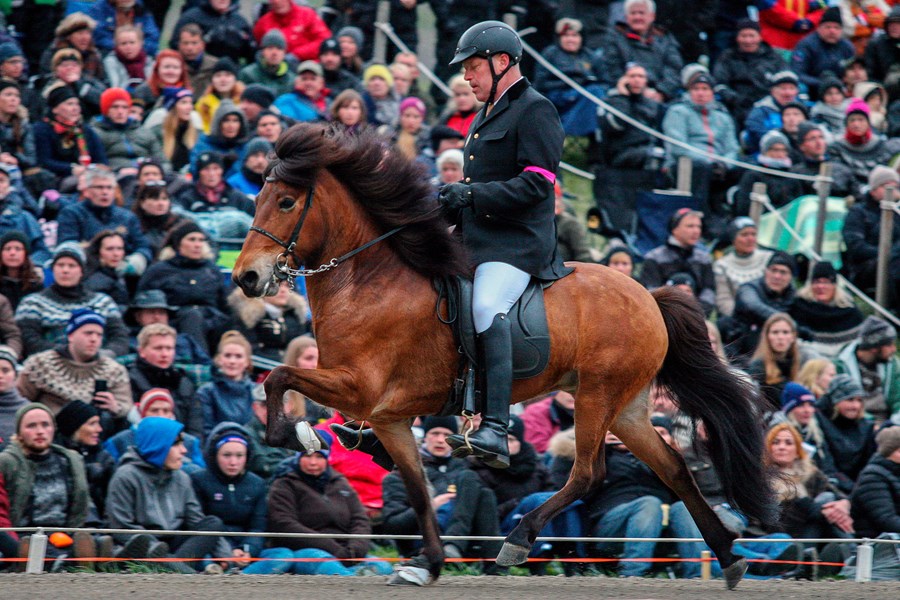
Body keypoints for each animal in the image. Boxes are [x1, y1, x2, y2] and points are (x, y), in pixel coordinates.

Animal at [232, 122, 772, 584]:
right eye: (256, 199)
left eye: (285, 202)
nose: (246, 278)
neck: (368, 284)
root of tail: (648, 296)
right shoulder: (388, 417)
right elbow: (418, 491)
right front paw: (428, 564)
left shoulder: (361, 388)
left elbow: (278, 377)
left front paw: (297, 433)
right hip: (628, 408)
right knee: (673, 468)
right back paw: (729, 558)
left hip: (598, 396)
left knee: (588, 473)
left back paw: (517, 537)